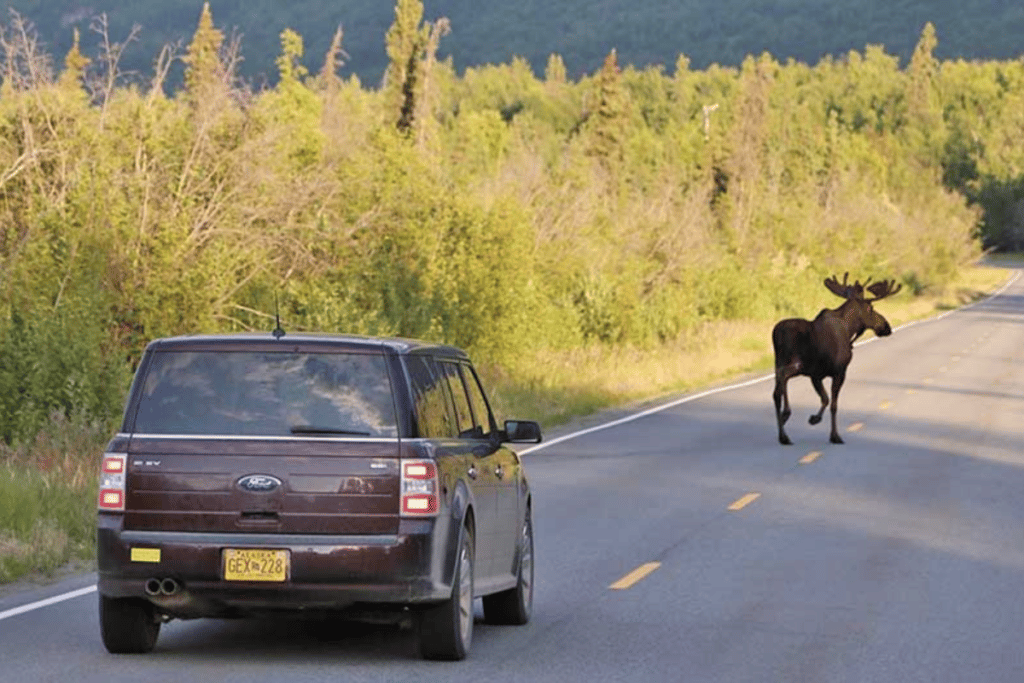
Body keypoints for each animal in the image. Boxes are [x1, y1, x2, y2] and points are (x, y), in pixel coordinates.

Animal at [770, 272, 901, 444]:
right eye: (871, 308)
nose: (886, 327)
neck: (849, 329)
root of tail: (775, 334)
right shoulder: (836, 372)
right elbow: (832, 403)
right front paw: (832, 433)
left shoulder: (815, 375)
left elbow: (826, 399)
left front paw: (818, 421)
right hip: (796, 363)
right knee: (783, 377)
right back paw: (786, 418)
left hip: (779, 363)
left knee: (776, 392)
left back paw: (783, 432)